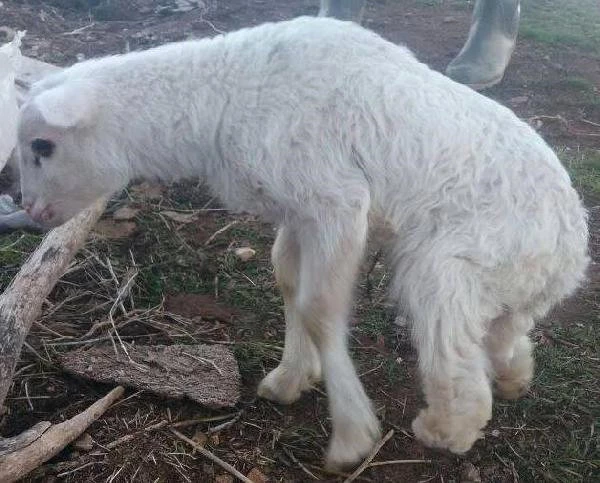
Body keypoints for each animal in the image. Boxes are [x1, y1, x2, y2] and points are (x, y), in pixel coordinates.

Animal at [16, 17, 588, 470]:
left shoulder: (336, 201)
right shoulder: (298, 210)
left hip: (448, 264)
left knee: (460, 361)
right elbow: (287, 280)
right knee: (503, 330)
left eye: (43, 146)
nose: (31, 212)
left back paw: (446, 428)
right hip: (501, 279)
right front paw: (291, 378)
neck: (223, 94)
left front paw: (352, 436)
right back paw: (514, 374)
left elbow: (319, 306)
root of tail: (572, 249)